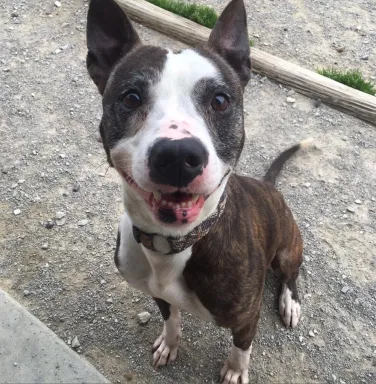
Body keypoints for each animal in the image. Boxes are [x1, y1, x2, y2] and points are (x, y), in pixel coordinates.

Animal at [86, 0, 310, 380]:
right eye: (131, 98)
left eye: (219, 100)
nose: (177, 156)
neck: (171, 246)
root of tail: (269, 187)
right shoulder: (160, 296)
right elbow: (172, 320)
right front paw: (169, 345)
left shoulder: (246, 317)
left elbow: (241, 349)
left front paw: (234, 372)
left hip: (287, 248)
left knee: (290, 274)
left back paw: (289, 302)